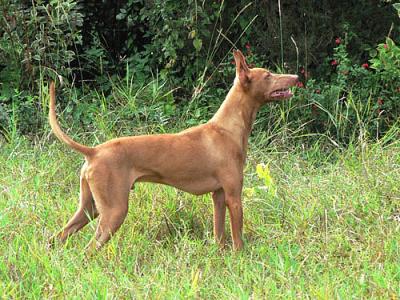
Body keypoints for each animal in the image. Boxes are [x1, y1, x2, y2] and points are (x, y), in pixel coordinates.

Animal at [49, 50, 296, 252]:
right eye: (268, 75)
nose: (296, 77)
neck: (227, 128)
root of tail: (94, 151)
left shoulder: (218, 196)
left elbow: (219, 236)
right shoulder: (234, 198)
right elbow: (238, 241)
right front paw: (239, 260)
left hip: (90, 208)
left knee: (56, 238)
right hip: (114, 211)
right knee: (88, 250)